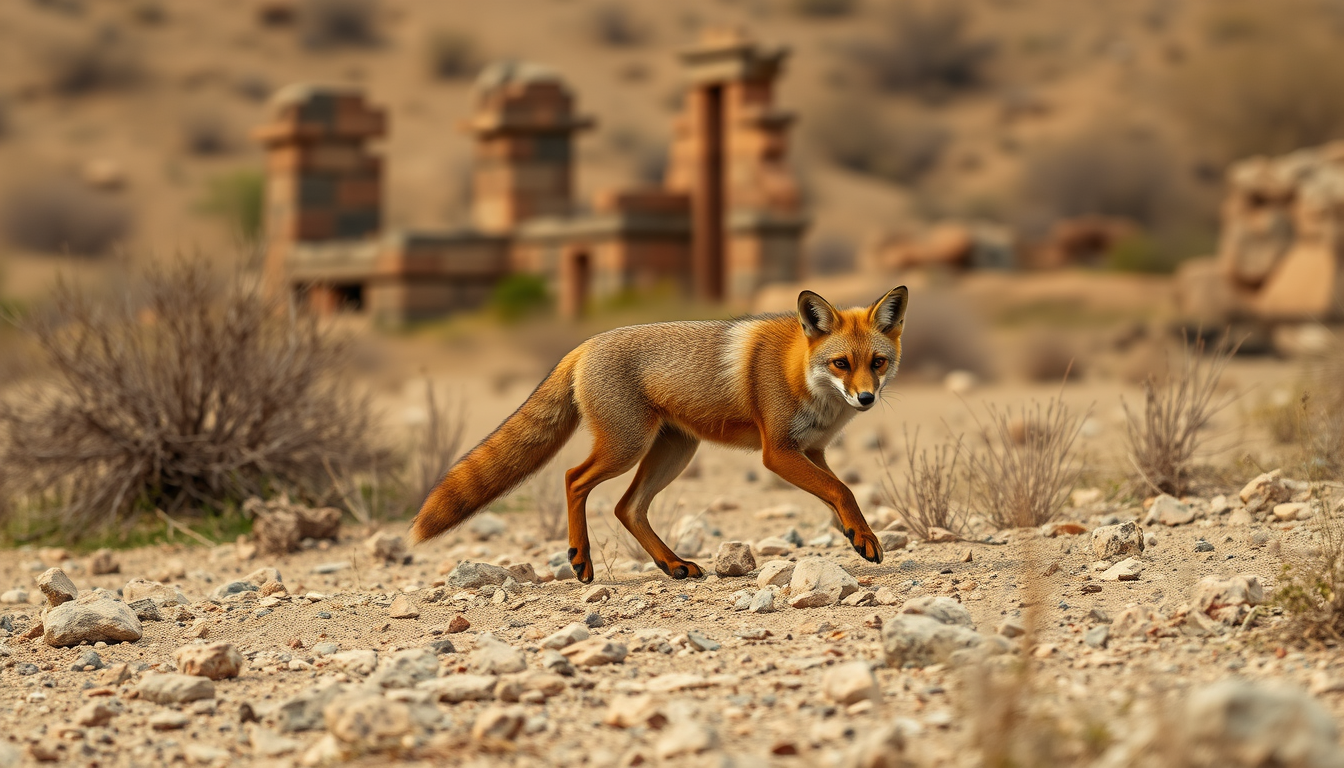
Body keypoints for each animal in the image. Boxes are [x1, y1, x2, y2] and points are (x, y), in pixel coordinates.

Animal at [409, 286, 909, 582]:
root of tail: (584, 345)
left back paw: (672, 564)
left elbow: (839, 493)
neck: (798, 374)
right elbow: (843, 490)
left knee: (626, 507)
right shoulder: (778, 453)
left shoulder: (813, 451)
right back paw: (580, 558)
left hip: (674, 452)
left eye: (877, 362)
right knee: (574, 479)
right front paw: (864, 539)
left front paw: (857, 535)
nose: (865, 398)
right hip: (626, 448)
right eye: (841, 363)